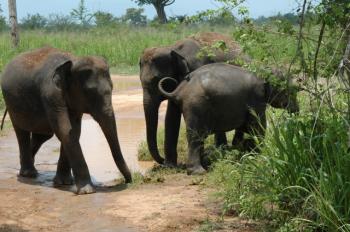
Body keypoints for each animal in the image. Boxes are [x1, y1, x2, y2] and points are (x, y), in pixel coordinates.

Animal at [0, 46, 132, 194]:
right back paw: (28, 174)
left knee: (42, 135)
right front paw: (86, 191)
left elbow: (73, 131)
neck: (73, 61)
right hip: (11, 102)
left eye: (112, 87)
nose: (127, 181)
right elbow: (65, 130)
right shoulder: (51, 95)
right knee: (21, 132)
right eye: (90, 92)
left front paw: (64, 183)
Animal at [138, 32, 250, 167]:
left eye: (156, 79)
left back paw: (230, 147)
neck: (174, 49)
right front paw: (170, 166)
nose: (162, 161)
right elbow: (171, 116)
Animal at [159, 62, 298, 175]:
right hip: (195, 105)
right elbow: (257, 125)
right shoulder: (257, 98)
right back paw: (199, 172)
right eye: (290, 91)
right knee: (195, 137)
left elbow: (243, 127)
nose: (296, 111)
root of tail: (179, 90)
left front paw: (241, 152)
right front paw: (259, 154)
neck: (262, 69)